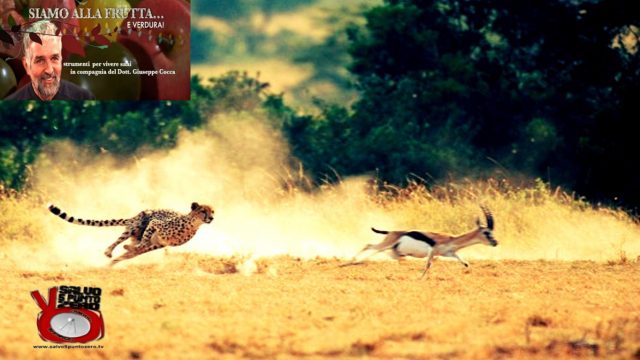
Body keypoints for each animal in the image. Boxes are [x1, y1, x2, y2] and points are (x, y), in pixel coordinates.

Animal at [47, 202, 216, 264]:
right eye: (203, 211)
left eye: (212, 211)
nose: (212, 218)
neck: (192, 224)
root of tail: (134, 216)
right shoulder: (155, 224)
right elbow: (145, 240)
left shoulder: (159, 244)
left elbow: (141, 247)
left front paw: (129, 251)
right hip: (135, 226)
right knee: (119, 241)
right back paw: (109, 252)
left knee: (129, 251)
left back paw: (115, 260)